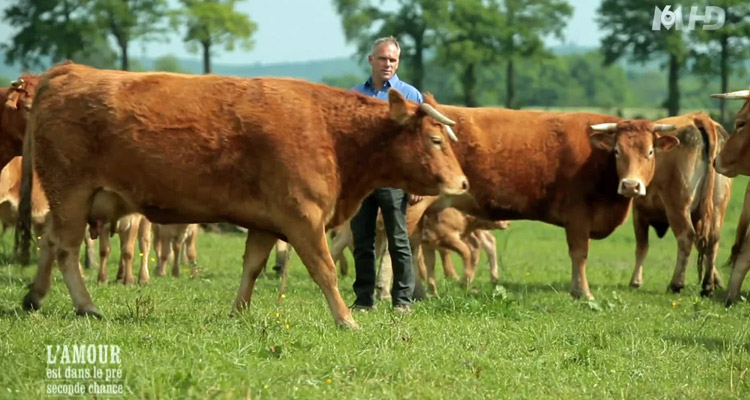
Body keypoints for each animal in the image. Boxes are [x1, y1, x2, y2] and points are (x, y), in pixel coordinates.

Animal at [17, 62, 470, 328]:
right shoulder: (303, 218)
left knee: (50, 242)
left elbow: (252, 267)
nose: (464, 183)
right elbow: (324, 270)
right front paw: (346, 320)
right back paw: (86, 305)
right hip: (71, 192)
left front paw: (238, 311)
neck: (334, 134)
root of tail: (69, 70)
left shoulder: (267, 221)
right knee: (65, 249)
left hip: (67, 199)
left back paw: (34, 297)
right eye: (435, 140)